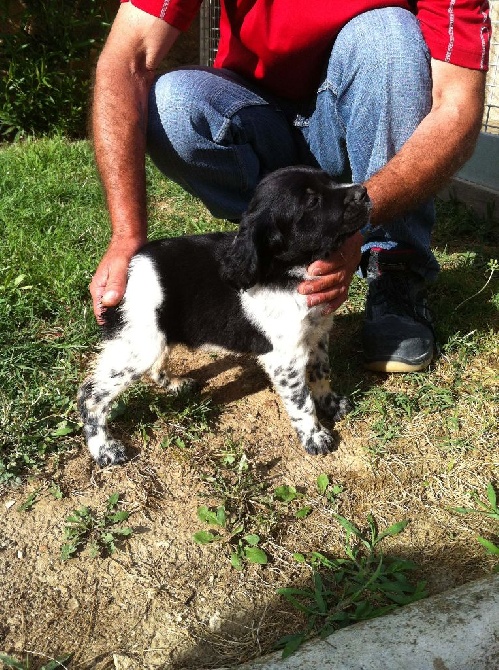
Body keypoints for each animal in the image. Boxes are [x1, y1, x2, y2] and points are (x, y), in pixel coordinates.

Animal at [79, 167, 372, 468]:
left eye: (330, 179)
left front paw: (331, 404)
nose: (363, 192)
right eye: (312, 202)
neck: (287, 269)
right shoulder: (285, 357)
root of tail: (128, 270)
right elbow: (301, 401)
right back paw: (104, 448)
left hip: (154, 338)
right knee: (89, 395)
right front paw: (315, 436)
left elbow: (321, 373)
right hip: (138, 346)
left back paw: (176, 384)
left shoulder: (317, 334)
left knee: (154, 367)